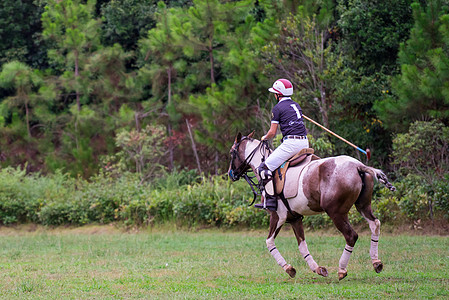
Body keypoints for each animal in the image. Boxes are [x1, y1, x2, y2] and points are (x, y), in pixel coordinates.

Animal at [229, 132, 394, 280]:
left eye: (232, 152)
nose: (231, 174)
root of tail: (358, 166)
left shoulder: (278, 216)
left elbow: (269, 242)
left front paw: (289, 269)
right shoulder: (295, 218)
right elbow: (302, 245)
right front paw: (318, 269)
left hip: (336, 212)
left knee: (351, 235)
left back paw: (342, 270)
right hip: (363, 205)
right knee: (375, 224)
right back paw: (376, 262)